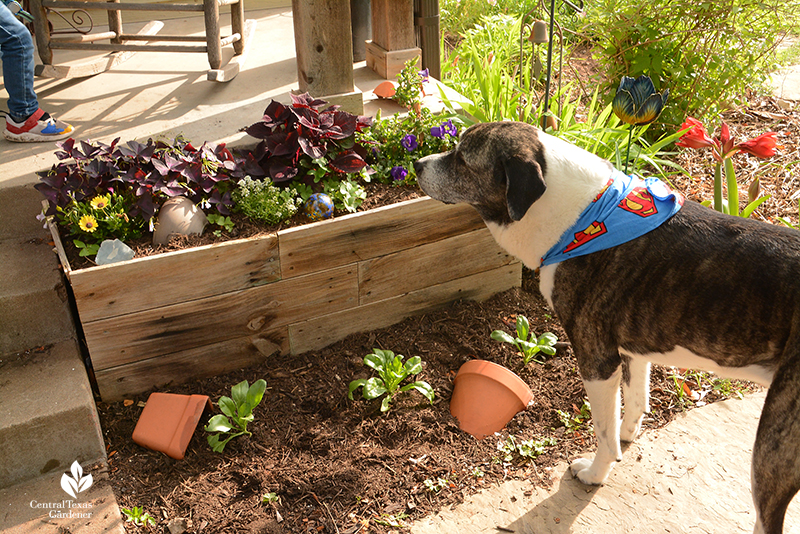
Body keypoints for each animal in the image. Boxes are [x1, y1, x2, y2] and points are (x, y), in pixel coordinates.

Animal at [412, 121, 800, 534]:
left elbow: (602, 430)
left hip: (773, 445)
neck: (583, 218)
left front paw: (597, 473)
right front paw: (628, 435)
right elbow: (635, 401)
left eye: (463, 159)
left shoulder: (597, 360)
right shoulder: (633, 350)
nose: (417, 164)